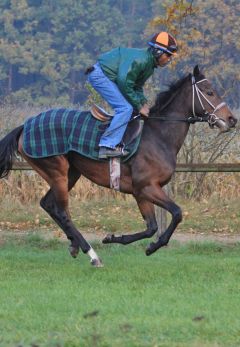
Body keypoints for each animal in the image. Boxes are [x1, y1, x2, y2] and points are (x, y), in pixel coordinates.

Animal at [0, 66, 237, 266]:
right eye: (209, 92)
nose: (231, 119)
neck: (158, 136)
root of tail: (24, 126)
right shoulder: (147, 187)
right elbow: (177, 213)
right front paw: (151, 247)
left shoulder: (140, 192)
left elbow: (151, 227)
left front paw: (116, 238)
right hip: (56, 170)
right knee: (61, 211)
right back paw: (92, 255)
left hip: (70, 173)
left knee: (49, 205)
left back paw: (75, 245)